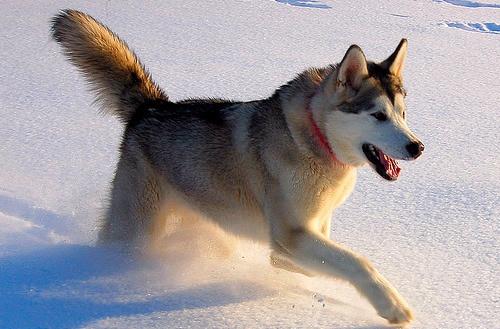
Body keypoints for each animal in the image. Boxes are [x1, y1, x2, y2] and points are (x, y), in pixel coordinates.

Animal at [51, 9, 422, 324]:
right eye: (378, 115)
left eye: (403, 114)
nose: (417, 147)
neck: (317, 141)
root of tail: (151, 107)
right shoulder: (292, 234)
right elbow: (356, 262)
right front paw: (392, 305)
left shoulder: (310, 228)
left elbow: (304, 262)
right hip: (136, 228)